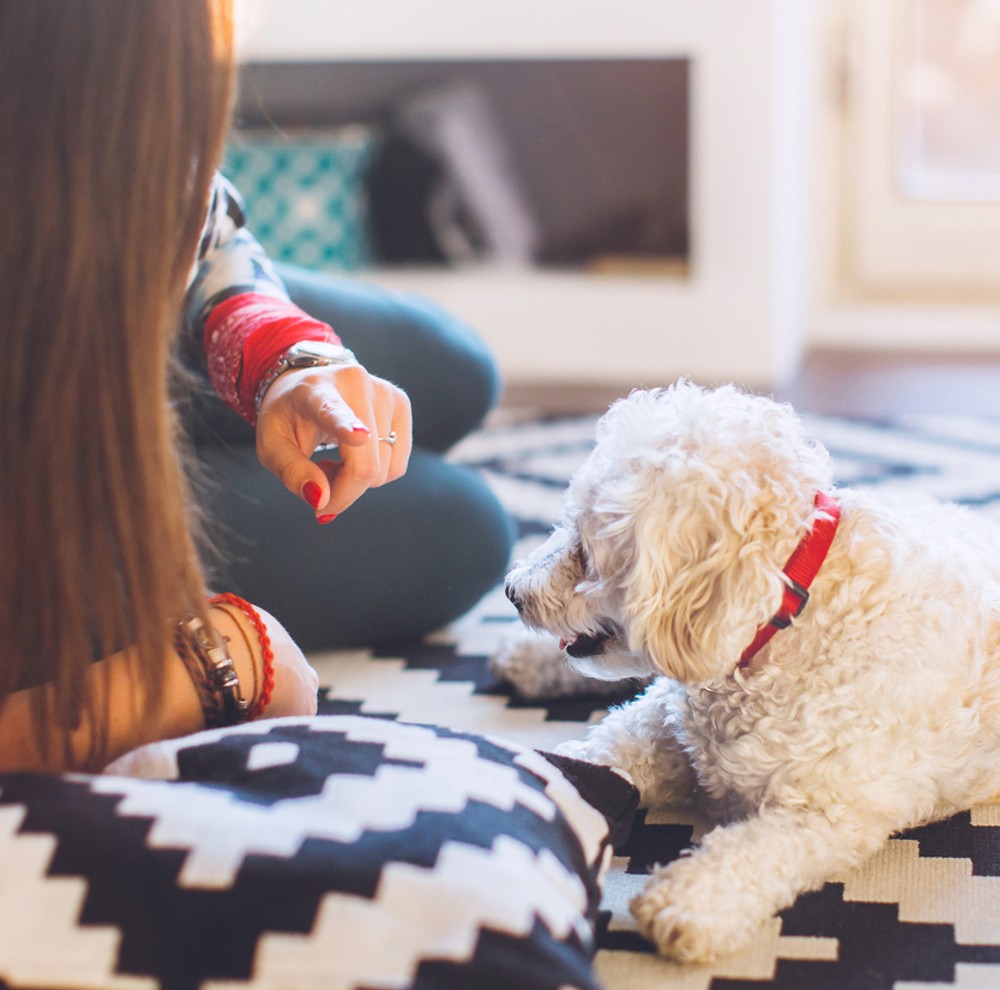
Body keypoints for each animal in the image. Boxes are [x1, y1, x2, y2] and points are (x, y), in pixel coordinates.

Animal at [500, 382, 1000, 968]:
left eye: (584, 543)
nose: (512, 590)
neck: (792, 609)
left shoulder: (828, 811)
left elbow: (757, 852)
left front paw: (688, 901)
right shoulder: (663, 724)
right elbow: (601, 750)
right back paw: (524, 660)